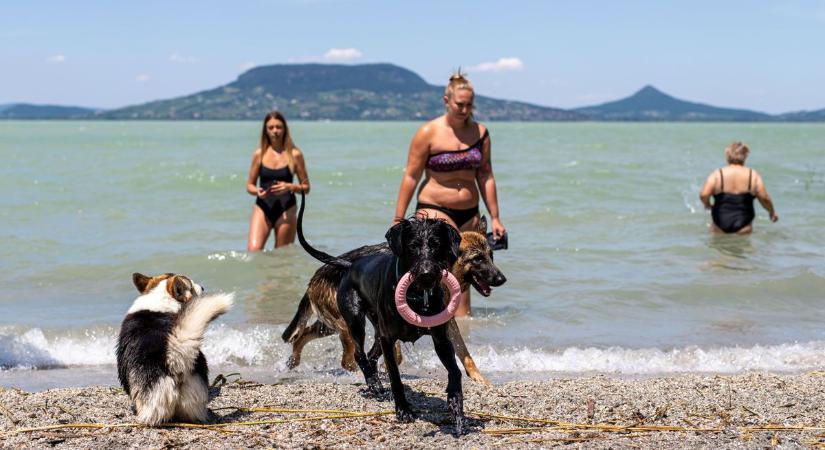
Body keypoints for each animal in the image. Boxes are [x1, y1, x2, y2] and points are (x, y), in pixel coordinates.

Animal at [282, 216, 502, 384]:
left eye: (491, 256)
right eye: (478, 259)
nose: (502, 279)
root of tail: (316, 276)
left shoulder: (445, 320)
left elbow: (464, 352)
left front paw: (479, 378)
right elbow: (394, 352)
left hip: (329, 325)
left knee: (304, 334)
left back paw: (293, 362)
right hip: (346, 324)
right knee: (347, 357)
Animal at [296, 192, 466, 434]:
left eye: (436, 245)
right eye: (412, 246)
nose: (426, 274)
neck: (417, 297)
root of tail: (351, 264)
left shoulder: (441, 339)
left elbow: (455, 371)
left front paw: (455, 406)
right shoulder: (388, 339)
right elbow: (395, 376)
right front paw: (403, 410)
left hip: (377, 330)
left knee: (370, 355)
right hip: (356, 319)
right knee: (360, 354)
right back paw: (375, 385)